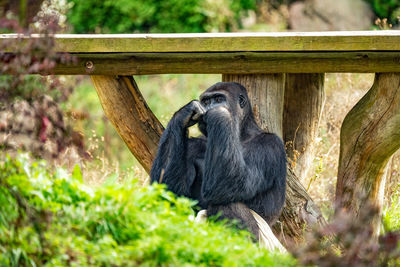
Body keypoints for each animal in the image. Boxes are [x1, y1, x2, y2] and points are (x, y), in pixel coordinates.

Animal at [149, 82, 284, 241]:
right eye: (206, 102)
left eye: (219, 99)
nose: (209, 108)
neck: (241, 134)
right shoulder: (193, 145)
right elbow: (169, 193)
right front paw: (184, 114)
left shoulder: (269, 145)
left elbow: (230, 182)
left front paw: (219, 113)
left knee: (226, 203)